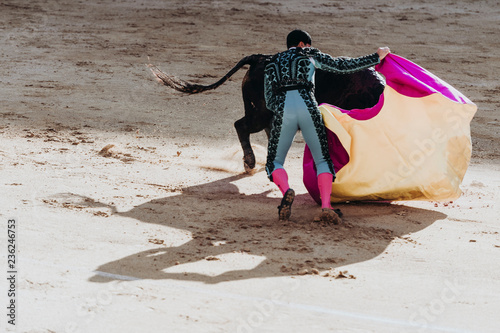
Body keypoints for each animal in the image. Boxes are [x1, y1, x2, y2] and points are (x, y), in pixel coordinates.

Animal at [147, 54, 382, 171]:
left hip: (266, 112)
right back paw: (250, 162)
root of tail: (260, 58)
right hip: (259, 112)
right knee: (241, 125)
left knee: (269, 130)